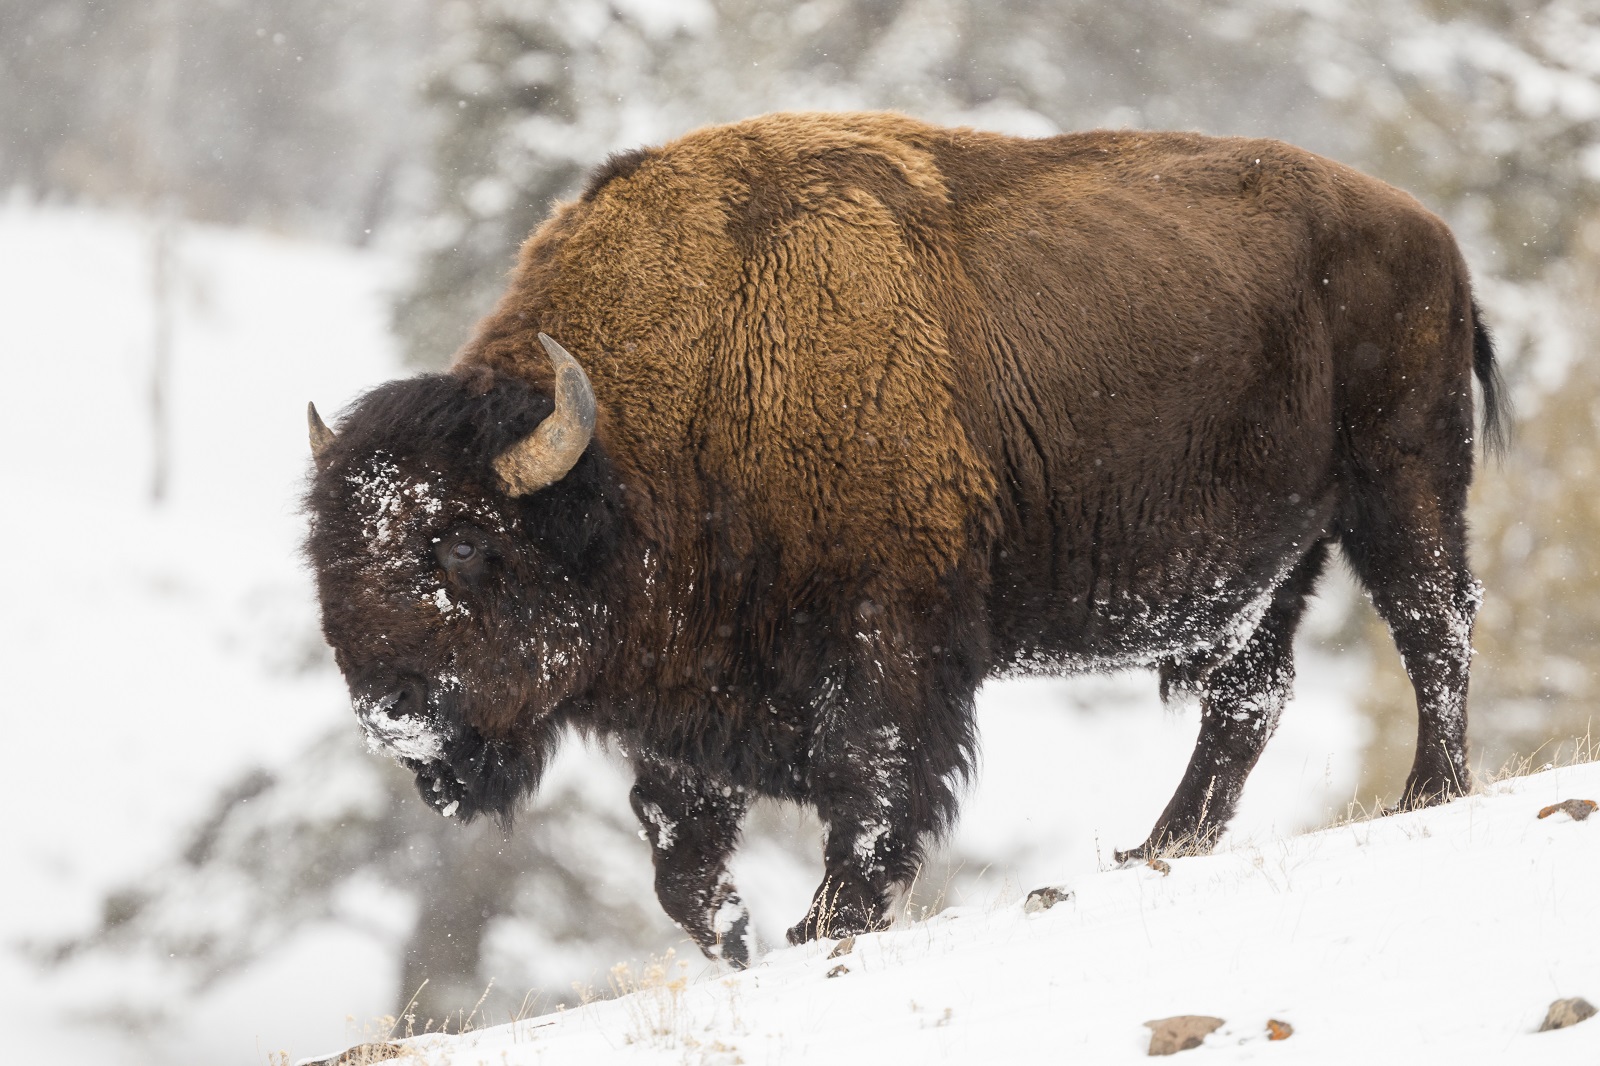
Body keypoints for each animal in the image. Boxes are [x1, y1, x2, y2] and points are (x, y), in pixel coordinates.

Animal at [305, 111, 1504, 966]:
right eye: (325, 557)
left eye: (462, 546)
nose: (390, 713)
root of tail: (1430, 233)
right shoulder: (683, 687)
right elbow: (675, 836)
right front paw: (736, 931)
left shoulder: (888, 642)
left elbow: (872, 785)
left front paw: (825, 922)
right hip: (1269, 565)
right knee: (1249, 696)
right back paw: (1158, 846)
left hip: (1401, 487)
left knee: (1434, 627)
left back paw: (1426, 792)